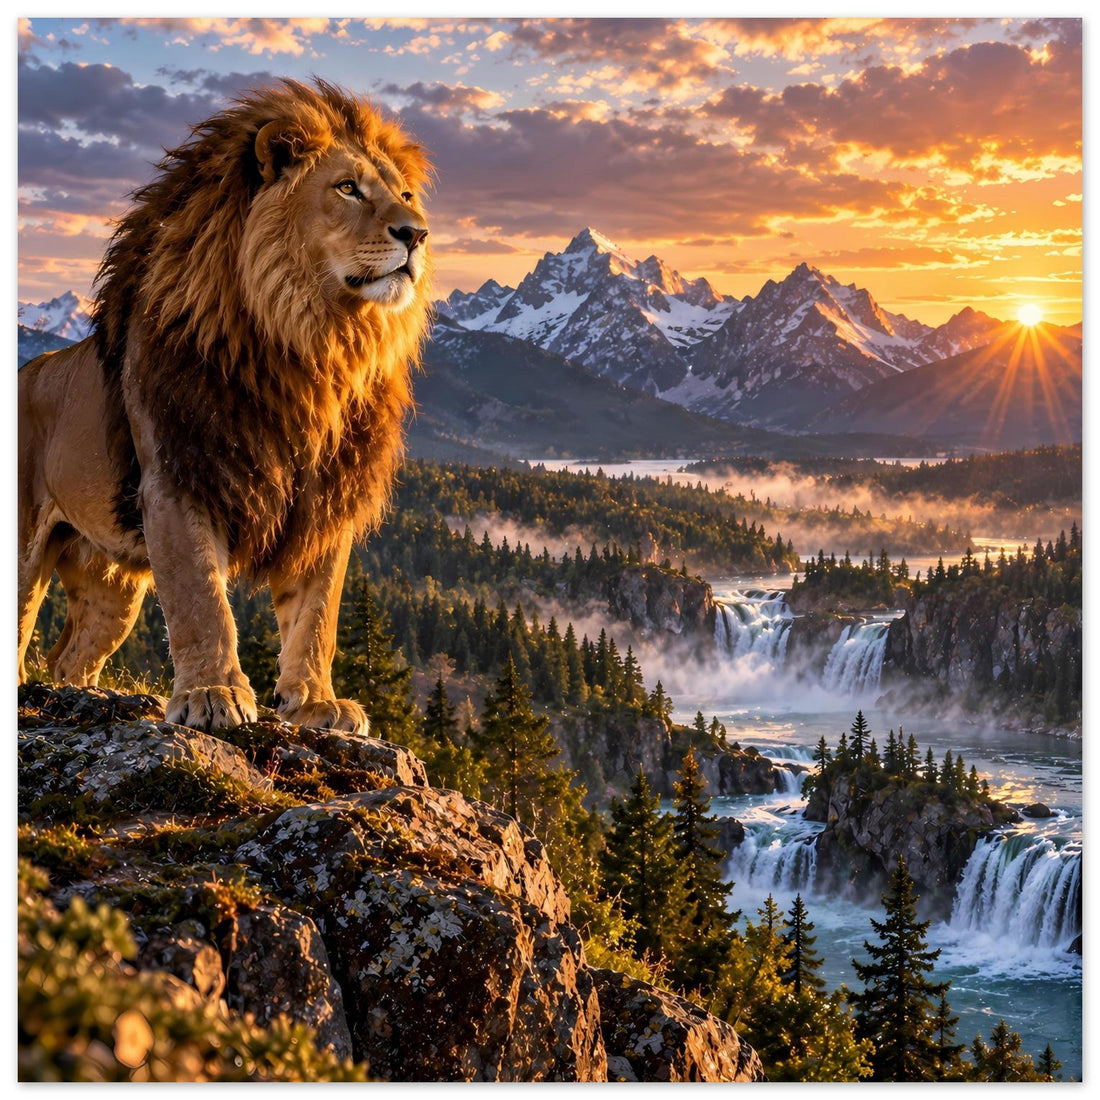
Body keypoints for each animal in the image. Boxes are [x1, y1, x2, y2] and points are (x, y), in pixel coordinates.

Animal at [18, 79, 432, 735]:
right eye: (347, 188)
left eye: (407, 195)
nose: (416, 234)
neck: (310, 344)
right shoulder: (178, 477)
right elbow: (200, 598)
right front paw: (213, 693)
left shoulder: (324, 501)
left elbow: (317, 615)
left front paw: (315, 702)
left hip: (111, 584)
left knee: (67, 660)